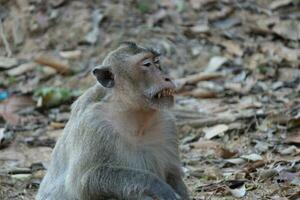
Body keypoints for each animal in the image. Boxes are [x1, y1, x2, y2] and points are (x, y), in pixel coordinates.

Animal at [35, 41, 190, 199]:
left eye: (157, 62)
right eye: (147, 64)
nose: (167, 78)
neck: (133, 115)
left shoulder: (167, 124)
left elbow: (173, 174)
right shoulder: (93, 124)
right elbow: (82, 183)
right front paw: (156, 185)